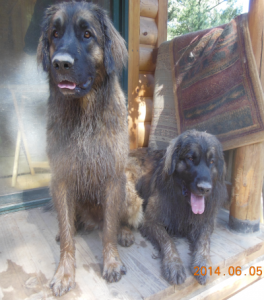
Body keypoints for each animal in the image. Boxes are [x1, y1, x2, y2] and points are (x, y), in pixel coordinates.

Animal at [37, 1, 142, 298]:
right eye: (55, 34)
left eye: (87, 34)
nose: (61, 63)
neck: (84, 114)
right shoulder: (60, 179)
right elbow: (67, 237)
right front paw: (64, 273)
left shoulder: (113, 178)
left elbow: (109, 229)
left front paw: (112, 262)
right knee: (70, 223)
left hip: (128, 187)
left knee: (120, 221)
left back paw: (125, 232)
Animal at [129, 130, 228, 284]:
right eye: (190, 158)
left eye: (212, 161)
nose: (205, 188)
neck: (184, 201)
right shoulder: (151, 221)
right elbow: (167, 239)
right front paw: (174, 263)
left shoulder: (206, 221)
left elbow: (204, 241)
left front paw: (202, 262)